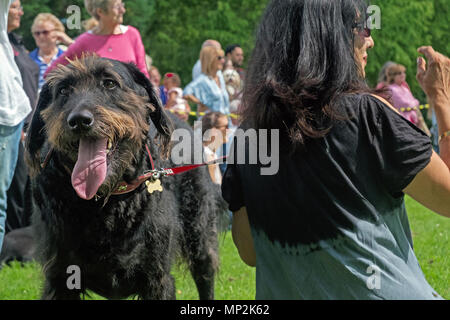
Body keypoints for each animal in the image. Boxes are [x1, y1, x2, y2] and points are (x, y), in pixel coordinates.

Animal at [24, 57, 225, 300]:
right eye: (63, 90)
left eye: (110, 83)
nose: (79, 120)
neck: (105, 202)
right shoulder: (60, 278)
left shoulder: (157, 278)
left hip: (199, 230)